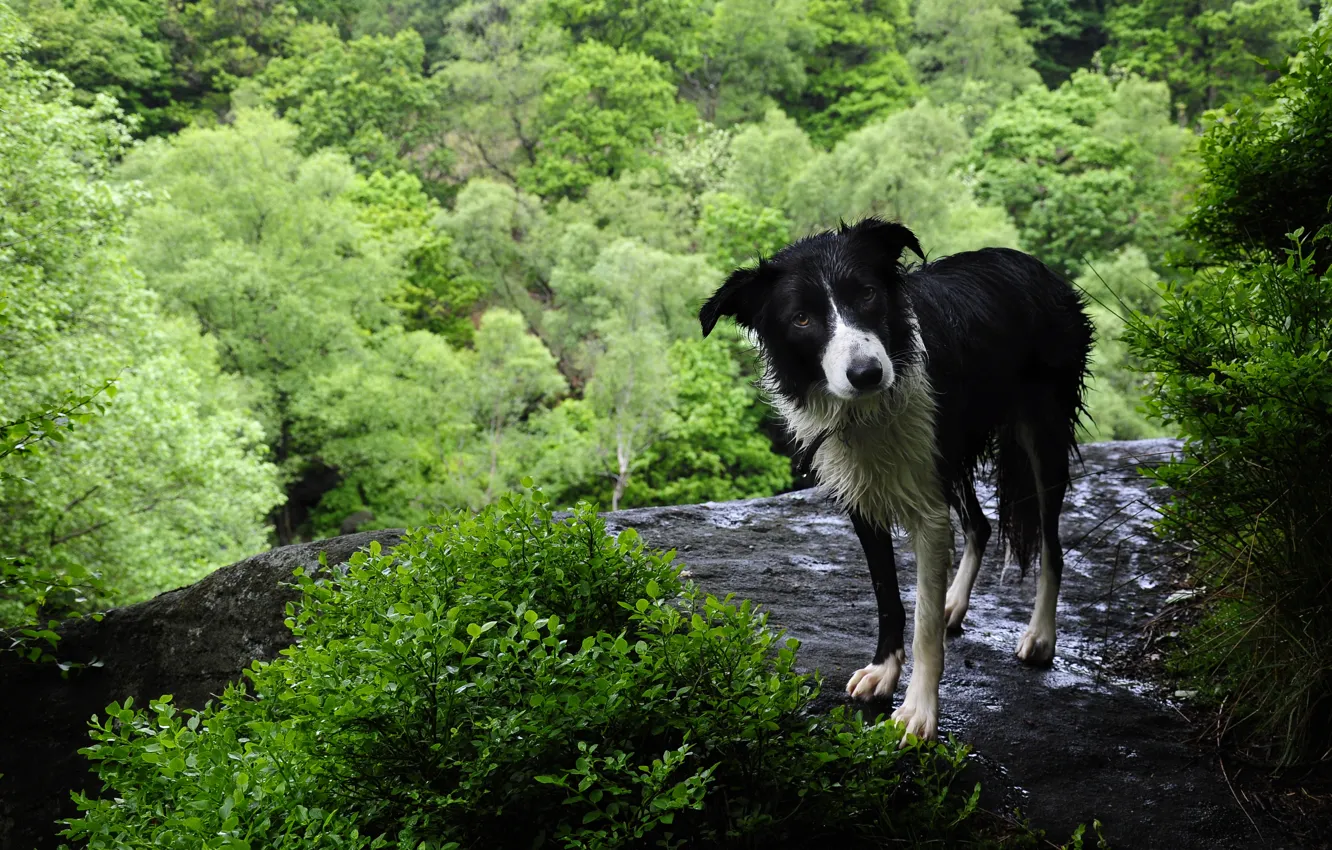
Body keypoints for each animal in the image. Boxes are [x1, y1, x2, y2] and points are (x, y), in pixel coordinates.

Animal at [697, 221, 1092, 746]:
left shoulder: (929, 508)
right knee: (981, 524)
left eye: (866, 294)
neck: (868, 411)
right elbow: (888, 594)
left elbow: (922, 620)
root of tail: (1035, 264)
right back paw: (955, 604)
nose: (866, 373)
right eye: (801, 319)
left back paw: (1041, 636)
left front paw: (919, 711)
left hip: (1039, 435)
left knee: (1052, 545)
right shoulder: (863, 499)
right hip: (950, 453)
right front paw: (884, 670)